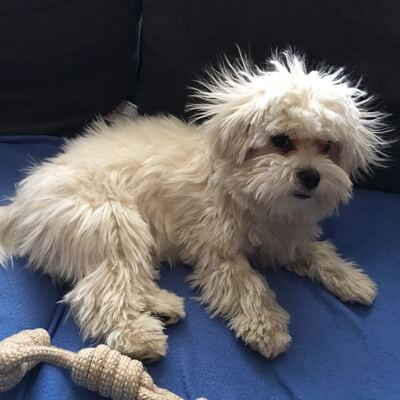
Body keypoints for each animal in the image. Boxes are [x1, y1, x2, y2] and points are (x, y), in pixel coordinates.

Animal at [0, 51, 388, 360]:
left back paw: (164, 307)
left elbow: (317, 252)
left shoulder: (286, 237)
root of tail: (22, 204)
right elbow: (249, 285)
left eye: (327, 146)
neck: (257, 197)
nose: (310, 176)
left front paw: (353, 280)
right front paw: (267, 327)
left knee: (125, 279)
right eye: (281, 141)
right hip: (113, 222)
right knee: (103, 292)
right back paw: (141, 338)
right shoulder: (219, 250)